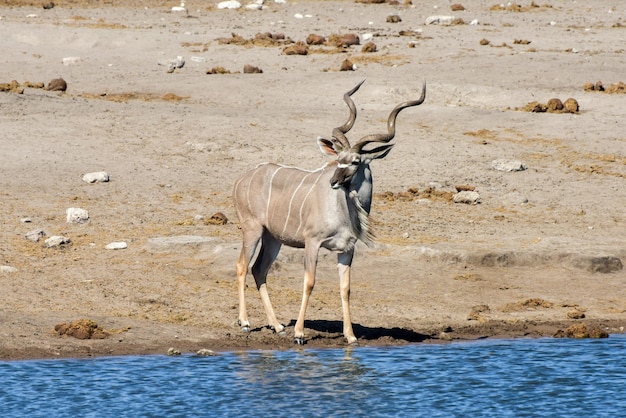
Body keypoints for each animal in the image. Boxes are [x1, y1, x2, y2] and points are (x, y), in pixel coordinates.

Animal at [233, 80, 424, 344]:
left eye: (355, 161)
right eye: (339, 158)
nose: (334, 181)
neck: (343, 211)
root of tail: (242, 178)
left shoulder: (347, 250)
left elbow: (345, 288)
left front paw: (350, 336)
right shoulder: (312, 242)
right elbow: (309, 282)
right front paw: (300, 334)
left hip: (273, 239)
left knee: (259, 270)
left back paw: (277, 326)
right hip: (252, 229)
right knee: (242, 265)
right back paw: (245, 323)